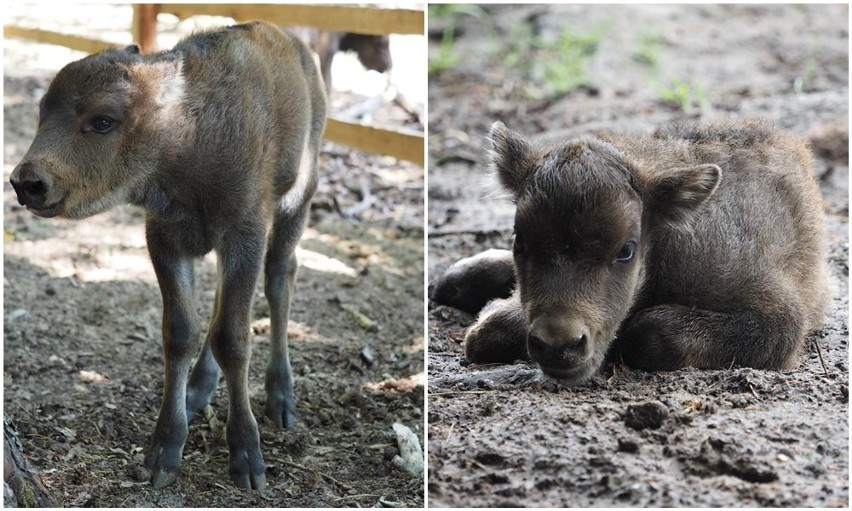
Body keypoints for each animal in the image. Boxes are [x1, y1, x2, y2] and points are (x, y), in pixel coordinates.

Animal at [10, 21, 330, 492]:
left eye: (102, 121)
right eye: (43, 112)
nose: (27, 182)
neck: (183, 131)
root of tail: (298, 47)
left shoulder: (245, 234)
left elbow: (234, 337)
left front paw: (247, 459)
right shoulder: (165, 238)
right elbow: (180, 332)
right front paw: (164, 451)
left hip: (297, 198)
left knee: (279, 277)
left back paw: (281, 399)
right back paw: (197, 391)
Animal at [430, 120, 828, 384]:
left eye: (626, 250)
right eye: (520, 241)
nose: (559, 346)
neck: (666, 242)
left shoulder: (778, 319)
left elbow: (649, 329)